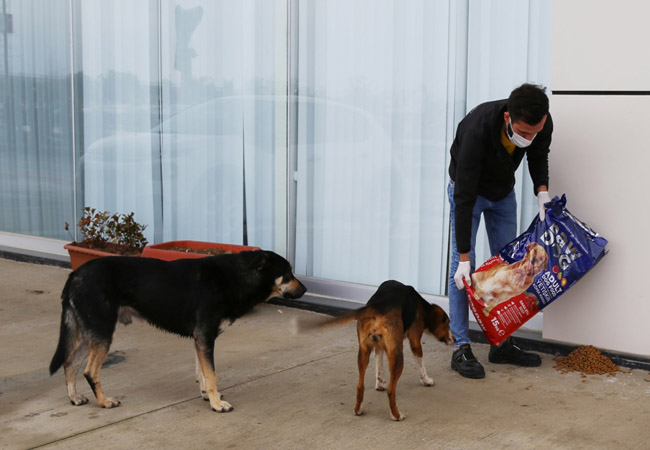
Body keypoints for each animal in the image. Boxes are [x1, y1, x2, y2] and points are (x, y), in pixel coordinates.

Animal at [48, 250, 306, 412]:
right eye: (287, 273)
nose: (306, 289)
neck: (235, 276)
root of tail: (75, 274)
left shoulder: (200, 339)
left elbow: (202, 372)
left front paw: (206, 395)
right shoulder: (205, 337)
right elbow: (211, 374)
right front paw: (216, 404)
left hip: (88, 333)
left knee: (70, 363)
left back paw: (74, 397)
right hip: (102, 331)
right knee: (89, 371)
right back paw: (104, 402)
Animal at [302, 280, 450, 420]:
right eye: (447, 323)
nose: (453, 339)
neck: (423, 307)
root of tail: (377, 308)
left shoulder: (378, 346)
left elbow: (379, 364)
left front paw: (380, 382)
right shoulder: (415, 342)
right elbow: (421, 365)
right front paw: (426, 380)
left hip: (363, 352)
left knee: (360, 386)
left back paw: (358, 409)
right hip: (397, 355)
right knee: (391, 390)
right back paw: (396, 415)